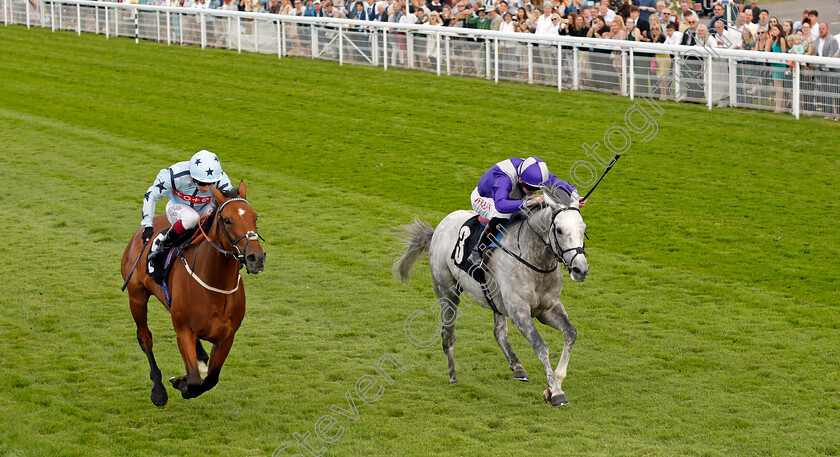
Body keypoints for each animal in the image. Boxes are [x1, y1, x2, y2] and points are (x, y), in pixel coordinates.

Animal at [120, 180, 266, 404]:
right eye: (227, 220)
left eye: (254, 217)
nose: (255, 257)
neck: (217, 288)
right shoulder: (184, 332)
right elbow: (196, 383)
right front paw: (181, 382)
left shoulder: (226, 337)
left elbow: (211, 379)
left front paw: (187, 376)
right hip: (136, 296)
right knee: (145, 337)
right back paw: (159, 390)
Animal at [396, 185, 588, 406]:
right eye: (559, 230)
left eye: (583, 228)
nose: (581, 269)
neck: (536, 261)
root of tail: (439, 228)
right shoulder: (519, 311)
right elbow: (540, 345)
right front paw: (556, 392)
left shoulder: (547, 309)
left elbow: (571, 333)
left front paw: (555, 381)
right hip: (447, 292)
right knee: (448, 334)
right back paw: (453, 376)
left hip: (496, 300)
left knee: (499, 332)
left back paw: (517, 367)